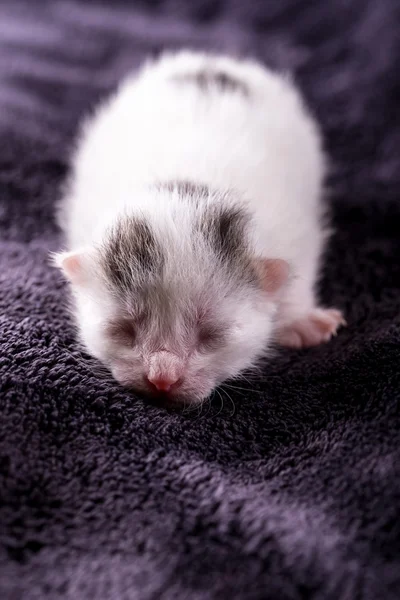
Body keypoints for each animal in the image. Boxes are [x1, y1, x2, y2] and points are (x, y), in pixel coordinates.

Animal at [54, 51, 346, 406]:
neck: (183, 188)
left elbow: (296, 276)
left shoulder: (296, 230)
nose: (162, 378)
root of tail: (214, 60)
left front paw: (300, 322)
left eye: (211, 334)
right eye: (123, 329)